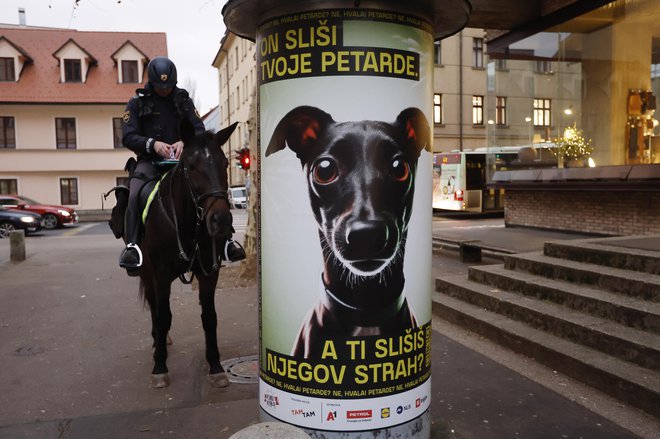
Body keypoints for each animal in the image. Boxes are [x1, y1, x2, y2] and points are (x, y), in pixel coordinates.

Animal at [135, 117, 236, 388]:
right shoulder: (160, 274)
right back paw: (157, 343)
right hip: (147, 273)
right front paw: (160, 367)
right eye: (191, 166)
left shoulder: (209, 272)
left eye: (225, 164)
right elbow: (163, 317)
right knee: (154, 308)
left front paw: (215, 366)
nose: (221, 220)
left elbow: (209, 317)